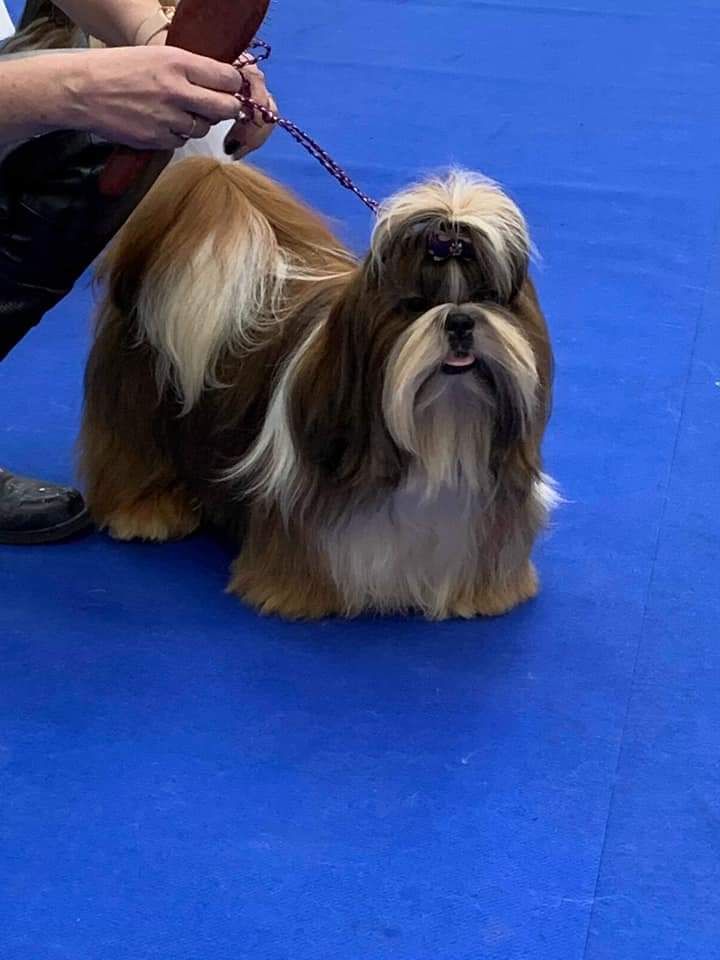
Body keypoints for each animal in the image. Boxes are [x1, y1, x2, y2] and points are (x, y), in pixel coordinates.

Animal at [79, 157, 556, 619]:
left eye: (488, 297)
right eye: (414, 306)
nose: (459, 320)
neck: (440, 431)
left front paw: (480, 595)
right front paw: (300, 595)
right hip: (133, 402)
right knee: (130, 449)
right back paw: (145, 512)